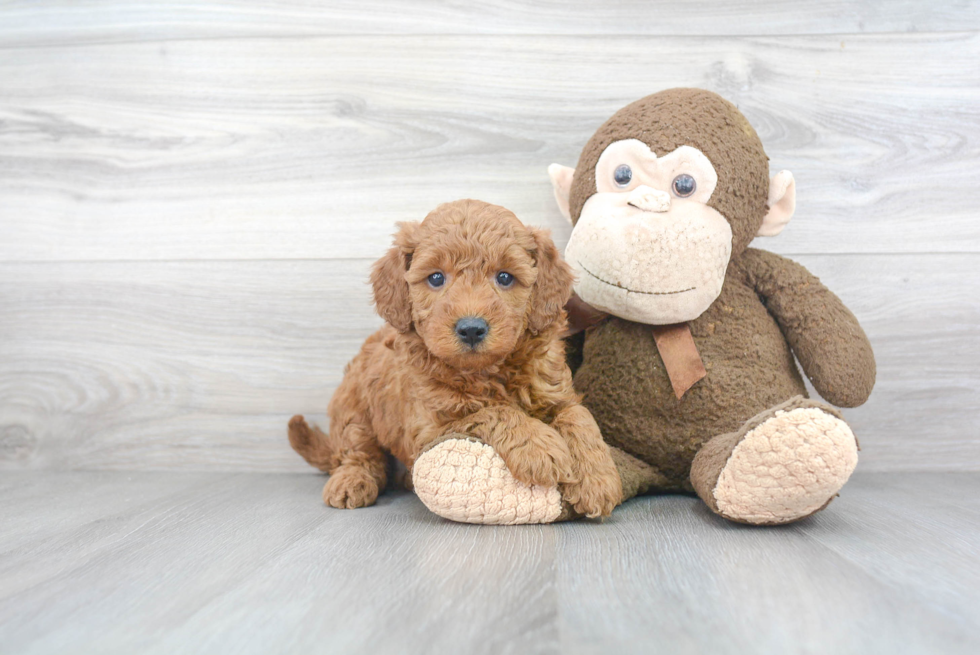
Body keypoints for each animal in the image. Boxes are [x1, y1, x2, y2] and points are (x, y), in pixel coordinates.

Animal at [290, 200, 620, 516]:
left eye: (505, 277)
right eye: (436, 278)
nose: (471, 328)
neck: (488, 373)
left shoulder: (557, 392)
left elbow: (579, 417)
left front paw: (597, 479)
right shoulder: (431, 429)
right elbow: (493, 412)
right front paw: (537, 446)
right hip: (353, 409)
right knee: (357, 452)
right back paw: (351, 481)